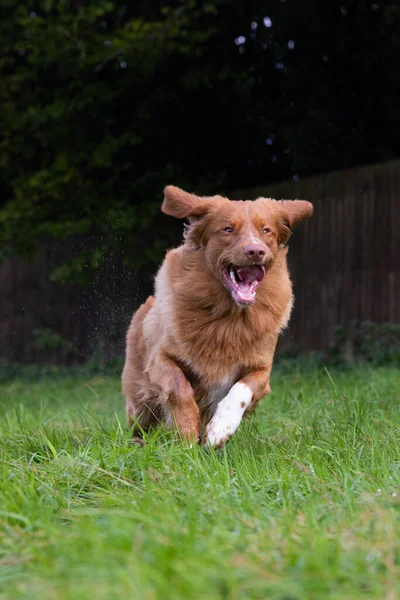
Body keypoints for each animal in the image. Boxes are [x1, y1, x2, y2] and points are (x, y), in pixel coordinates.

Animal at [122, 186, 312, 446]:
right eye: (228, 229)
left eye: (266, 230)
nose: (256, 250)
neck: (229, 318)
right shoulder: (160, 359)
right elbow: (179, 387)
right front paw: (186, 436)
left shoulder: (261, 370)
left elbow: (242, 389)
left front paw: (220, 428)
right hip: (140, 402)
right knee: (139, 423)